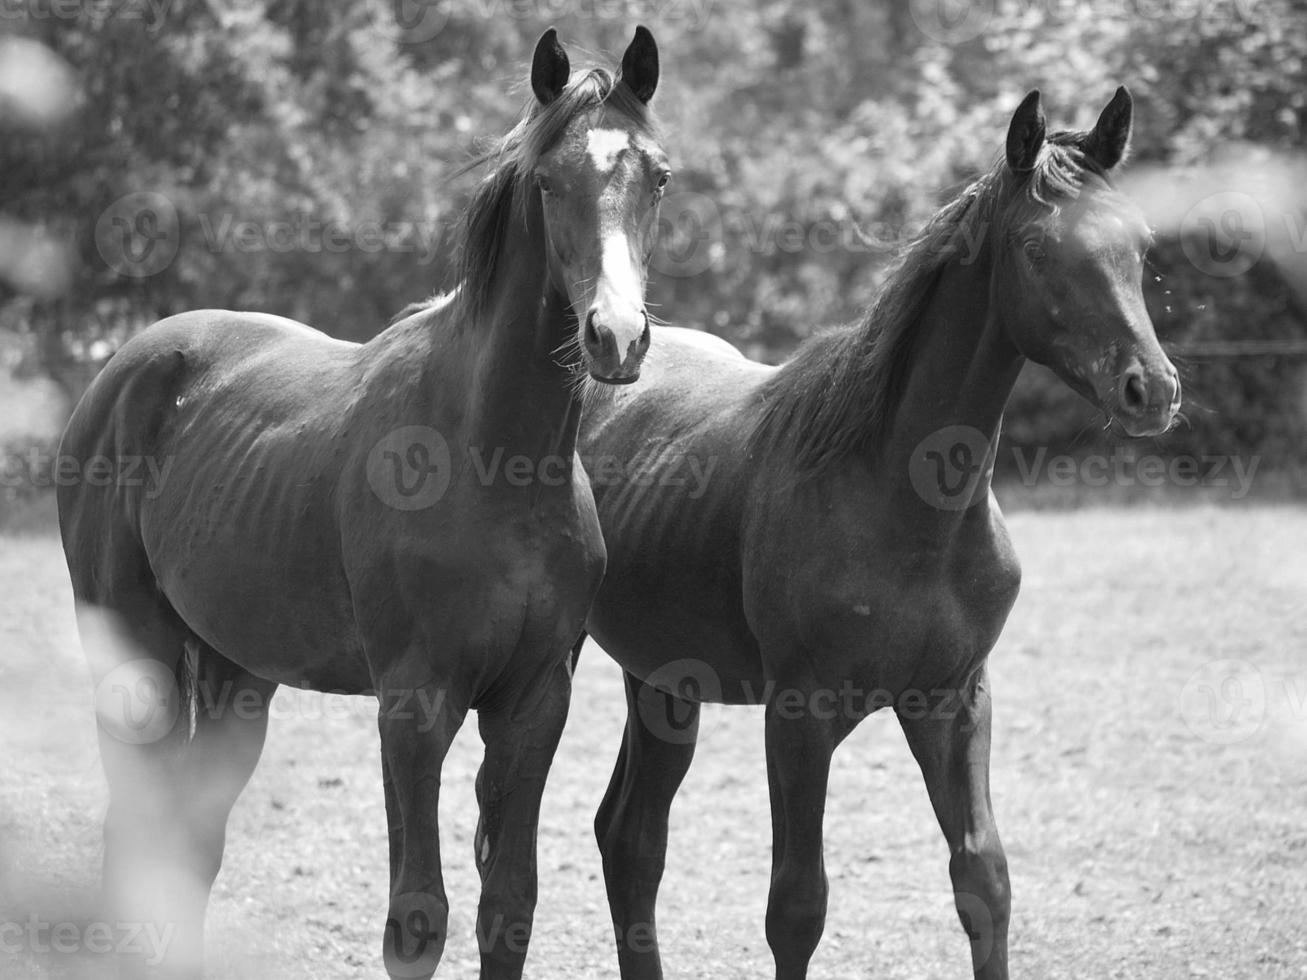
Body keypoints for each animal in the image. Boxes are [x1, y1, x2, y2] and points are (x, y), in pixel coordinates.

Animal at [58, 28, 674, 980]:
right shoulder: (413, 709)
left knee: (190, 840)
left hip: (237, 673)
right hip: (137, 660)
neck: (492, 459)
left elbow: (509, 905)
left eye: (658, 177)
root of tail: (123, 371)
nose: (615, 336)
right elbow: (416, 921)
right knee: (137, 832)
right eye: (546, 181)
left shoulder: (534, 704)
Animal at [577, 86, 1181, 980]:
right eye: (1037, 246)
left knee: (629, 838)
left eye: (1138, 244)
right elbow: (796, 905)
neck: (907, 506)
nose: (1151, 389)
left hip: (661, 679)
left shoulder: (952, 701)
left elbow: (983, 881)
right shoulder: (798, 716)